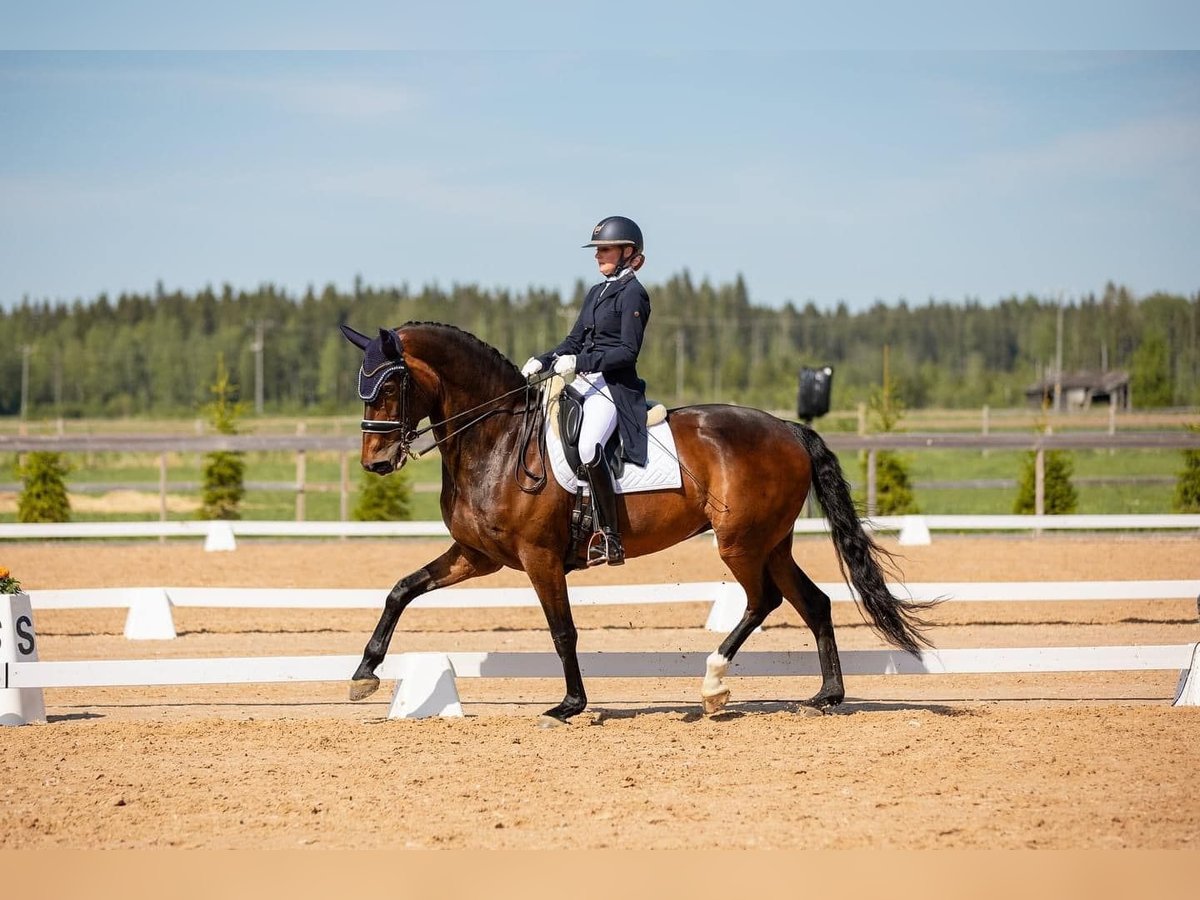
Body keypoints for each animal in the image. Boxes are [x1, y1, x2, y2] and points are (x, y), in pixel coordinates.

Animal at [343, 321, 931, 724]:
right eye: (361, 386)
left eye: (390, 387)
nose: (376, 463)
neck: (499, 441)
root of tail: (788, 428)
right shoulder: (479, 556)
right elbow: (401, 590)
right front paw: (364, 674)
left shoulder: (539, 556)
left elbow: (562, 630)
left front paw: (570, 705)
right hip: (771, 542)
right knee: (813, 602)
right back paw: (826, 696)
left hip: (740, 543)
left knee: (764, 599)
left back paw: (713, 685)